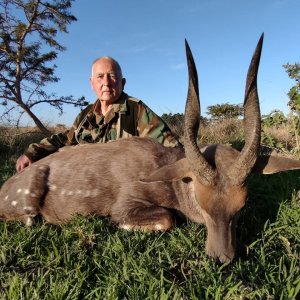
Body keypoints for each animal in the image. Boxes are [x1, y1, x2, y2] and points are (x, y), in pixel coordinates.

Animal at [0, 34, 300, 262]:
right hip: (26, 202)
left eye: (241, 207)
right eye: (202, 205)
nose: (221, 258)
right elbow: (167, 219)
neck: (171, 179)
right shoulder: (127, 205)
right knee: (28, 218)